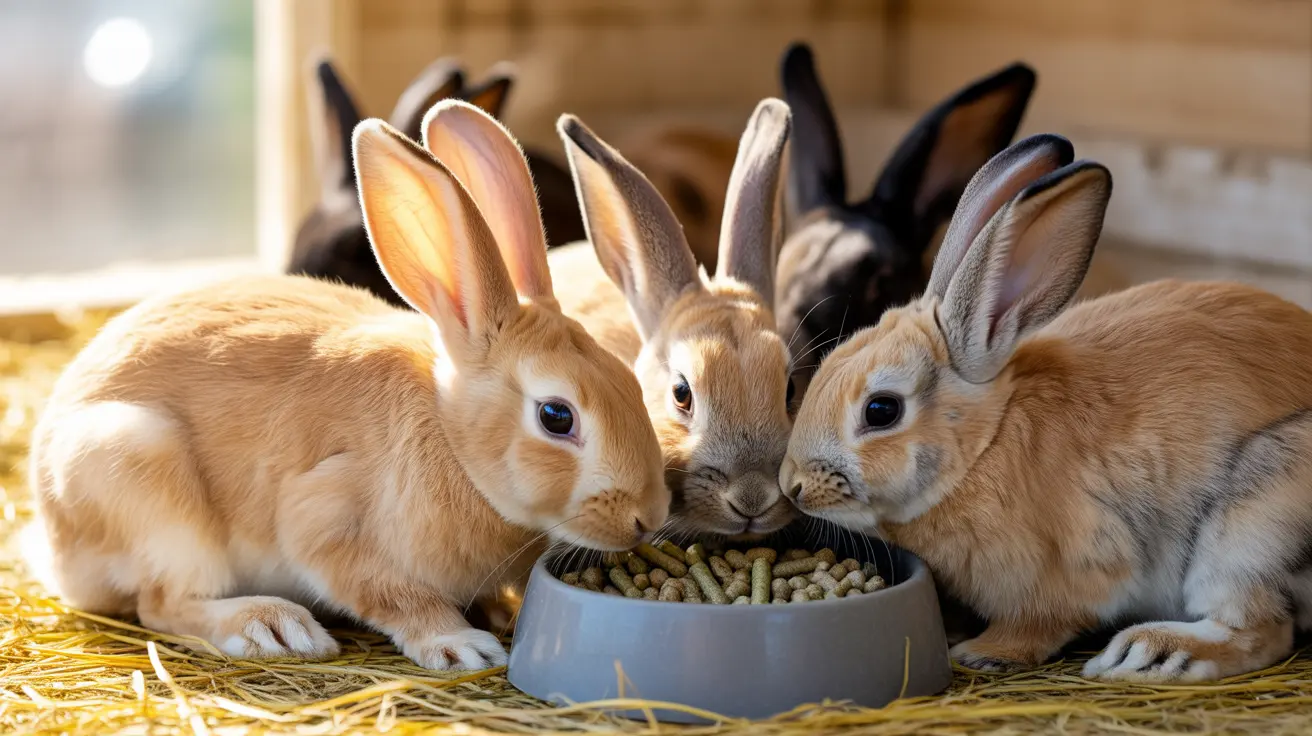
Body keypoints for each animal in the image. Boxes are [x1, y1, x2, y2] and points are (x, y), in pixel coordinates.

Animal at [25, 101, 668, 671]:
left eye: (630, 382)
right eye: (557, 417)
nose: (649, 516)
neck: (453, 440)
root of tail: (56, 548)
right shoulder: (326, 522)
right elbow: (392, 594)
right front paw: (464, 645)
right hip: (145, 480)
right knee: (164, 603)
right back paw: (272, 628)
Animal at [780, 131, 1312, 684]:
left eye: (881, 411)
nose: (791, 485)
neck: (983, 447)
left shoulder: (1070, 574)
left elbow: (1040, 624)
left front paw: (980, 651)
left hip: (1252, 524)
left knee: (1262, 630)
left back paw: (1144, 653)